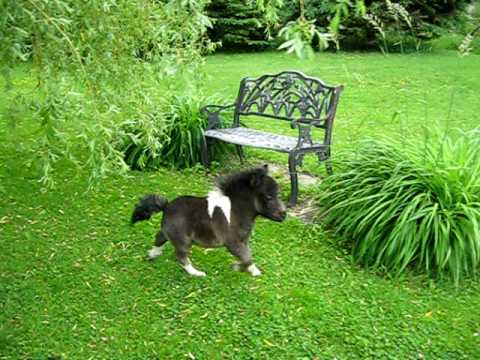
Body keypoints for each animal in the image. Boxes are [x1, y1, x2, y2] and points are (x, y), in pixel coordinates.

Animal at [132, 165, 284, 278]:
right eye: (269, 197)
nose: (283, 215)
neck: (235, 210)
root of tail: (166, 206)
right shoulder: (232, 242)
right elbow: (247, 257)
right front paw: (239, 268)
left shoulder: (243, 241)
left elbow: (247, 255)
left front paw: (250, 269)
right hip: (183, 240)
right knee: (180, 256)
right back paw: (197, 273)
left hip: (169, 231)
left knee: (159, 237)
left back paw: (152, 254)